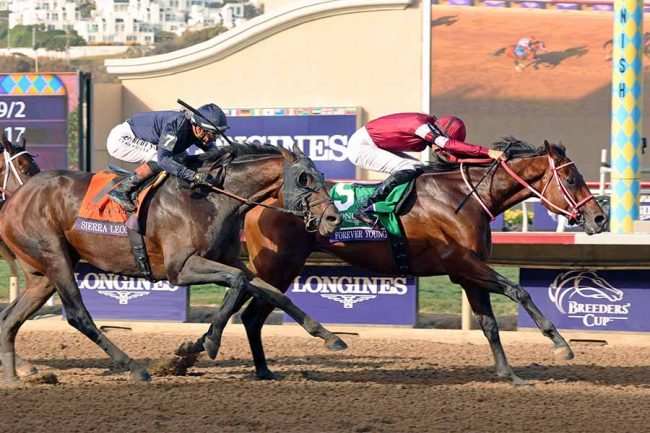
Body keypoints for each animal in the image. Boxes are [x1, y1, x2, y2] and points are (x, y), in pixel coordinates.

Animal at [0, 142, 346, 384]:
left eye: (321, 176)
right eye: (304, 178)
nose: (333, 218)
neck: (211, 197)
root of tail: (14, 199)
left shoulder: (229, 260)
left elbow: (272, 293)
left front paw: (330, 336)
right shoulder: (181, 268)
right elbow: (236, 282)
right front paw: (208, 342)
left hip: (43, 275)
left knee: (9, 318)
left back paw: (14, 376)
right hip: (56, 260)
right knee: (77, 316)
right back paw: (135, 368)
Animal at [177, 138, 608, 385]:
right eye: (572, 179)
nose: (599, 218)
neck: (463, 197)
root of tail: (261, 201)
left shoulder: (468, 274)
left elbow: (488, 324)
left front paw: (509, 374)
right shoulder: (463, 265)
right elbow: (520, 291)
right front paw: (561, 345)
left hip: (281, 267)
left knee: (250, 311)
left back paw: (252, 367)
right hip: (278, 265)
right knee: (247, 306)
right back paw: (212, 352)